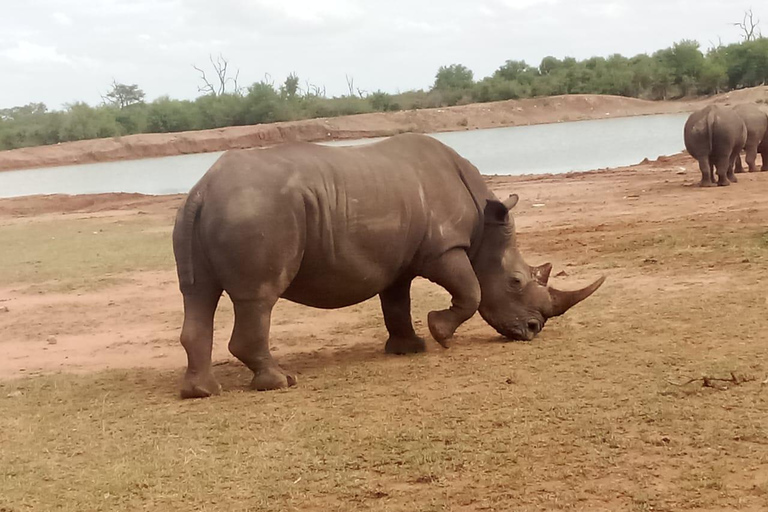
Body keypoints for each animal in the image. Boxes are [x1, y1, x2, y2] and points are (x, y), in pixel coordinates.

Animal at [172, 134, 608, 398]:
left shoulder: (399, 260)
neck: (485, 229)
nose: (533, 330)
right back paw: (282, 382)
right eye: (517, 281)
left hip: (217, 212)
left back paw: (203, 392)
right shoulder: (443, 248)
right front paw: (440, 335)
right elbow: (471, 291)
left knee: (198, 294)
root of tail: (203, 189)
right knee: (259, 298)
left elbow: (396, 301)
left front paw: (409, 349)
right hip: (257, 212)